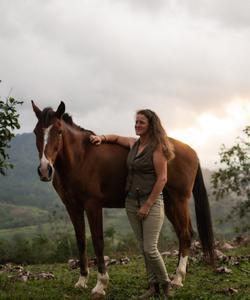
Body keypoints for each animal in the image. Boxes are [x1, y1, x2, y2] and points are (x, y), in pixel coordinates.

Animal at [31, 101, 215, 298]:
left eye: (58, 131)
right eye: (36, 131)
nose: (45, 170)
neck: (81, 158)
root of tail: (191, 151)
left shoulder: (93, 205)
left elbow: (98, 241)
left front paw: (101, 284)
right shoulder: (73, 207)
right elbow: (81, 242)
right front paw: (81, 281)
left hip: (178, 200)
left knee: (186, 234)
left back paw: (177, 279)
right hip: (169, 204)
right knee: (184, 233)